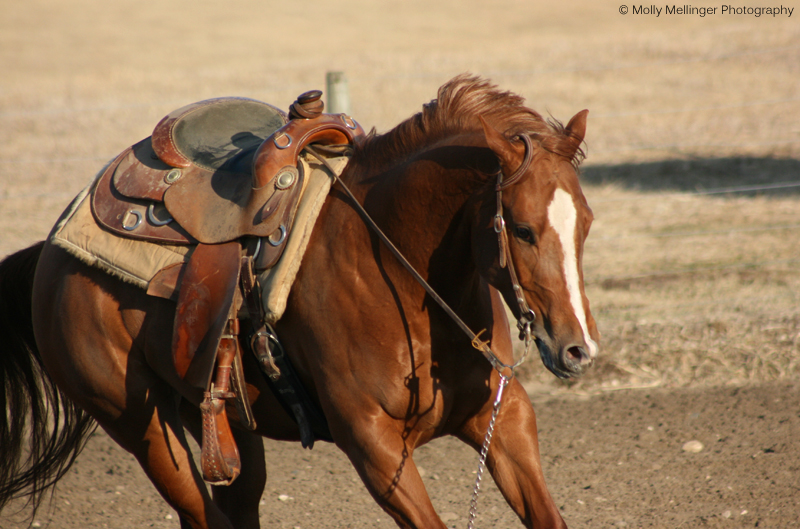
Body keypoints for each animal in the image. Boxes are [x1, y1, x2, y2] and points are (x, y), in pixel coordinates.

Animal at [0, 76, 596, 524]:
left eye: (586, 222)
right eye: (522, 230)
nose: (578, 350)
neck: (398, 277)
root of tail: (49, 252)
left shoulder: (505, 420)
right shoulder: (374, 447)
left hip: (221, 424)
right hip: (142, 429)